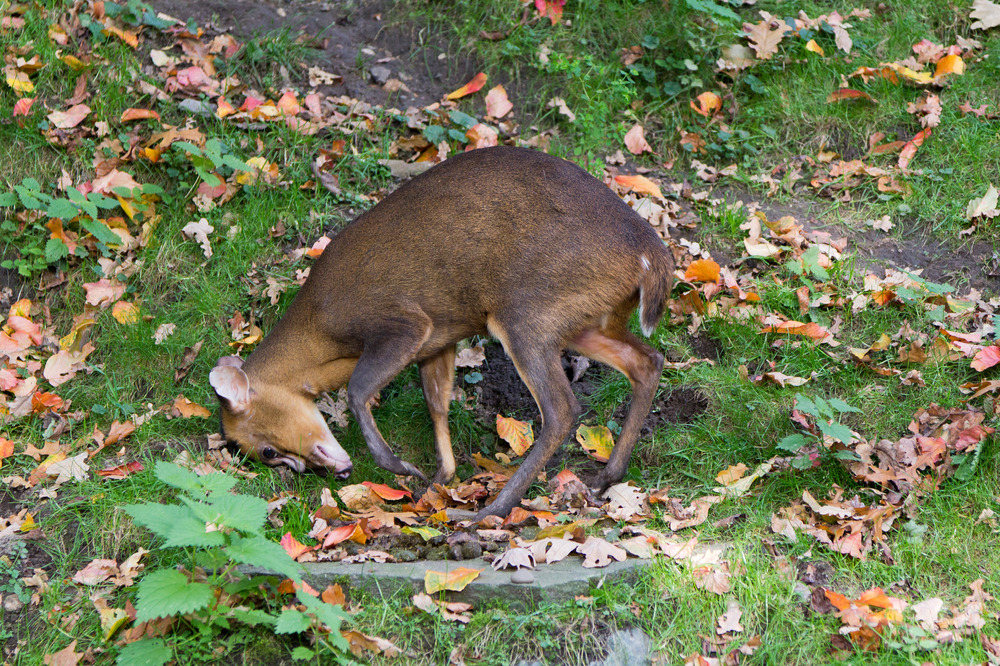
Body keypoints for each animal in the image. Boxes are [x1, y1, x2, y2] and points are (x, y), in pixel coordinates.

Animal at [214, 147, 676, 520]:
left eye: (267, 450)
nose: (335, 470)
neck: (321, 332)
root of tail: (650, 253)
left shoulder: (404, 321)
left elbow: (359, 388)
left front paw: (402, 467)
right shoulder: (439, 339)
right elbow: (437, 403)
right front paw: (438, 479)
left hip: (527, 311)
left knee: (562, 409)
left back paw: (491, 510)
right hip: (581, 318)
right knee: (647, 360)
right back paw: (606, 477)